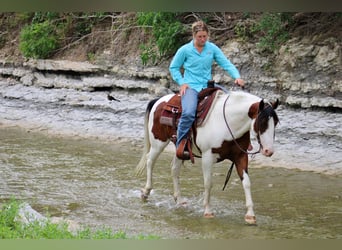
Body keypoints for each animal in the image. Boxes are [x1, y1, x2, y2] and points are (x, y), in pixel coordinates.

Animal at [135, 88, 280, 225]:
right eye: (262, 122)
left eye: (276, 122)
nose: (268, 151)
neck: (227, 123)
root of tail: (159, 100)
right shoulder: (207, 157)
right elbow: (208, 183)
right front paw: (208, 211)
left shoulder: (241, 156)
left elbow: (247, 183)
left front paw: (250, 215)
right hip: (158, 143)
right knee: (150, 161)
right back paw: (145, 192)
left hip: (179, 149)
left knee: (174, 169)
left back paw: (180, 200)